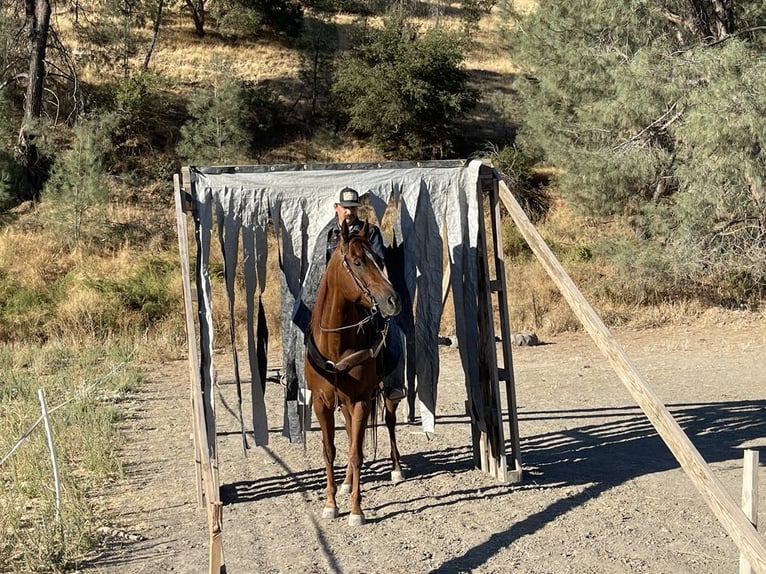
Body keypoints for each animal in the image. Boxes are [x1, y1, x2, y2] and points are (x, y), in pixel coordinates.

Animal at [305, 219, 403, 525]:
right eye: (358, 262)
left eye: (378, 260)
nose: (393, 300)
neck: (336, 346)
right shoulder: (322, 403)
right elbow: (331, 451)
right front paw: (331, 503)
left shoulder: (361, 400)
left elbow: (357, 453)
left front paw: (356, 510)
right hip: (345, 404)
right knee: (350, 434)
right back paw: (347, 482)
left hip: (385, 394)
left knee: (390, 422)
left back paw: (396, 469)